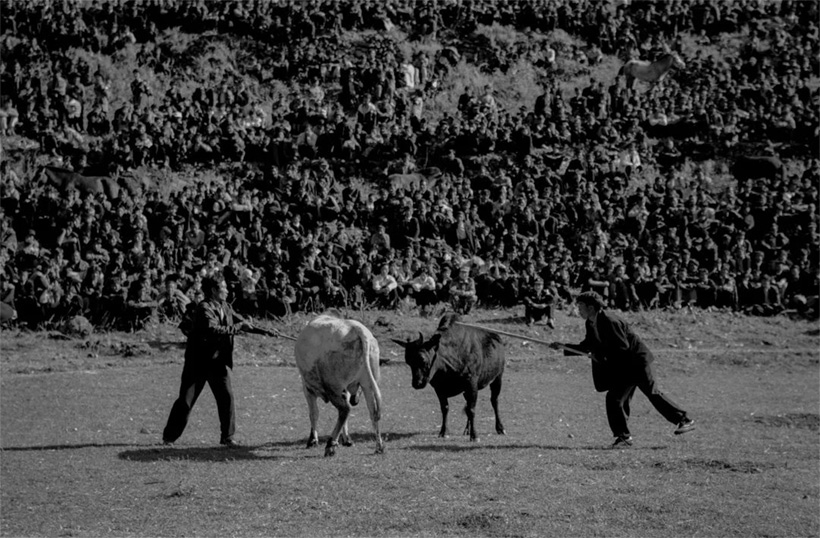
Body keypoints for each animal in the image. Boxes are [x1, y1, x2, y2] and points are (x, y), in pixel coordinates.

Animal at [294, 312, 384, 454]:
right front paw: (346, 439)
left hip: (333, 386)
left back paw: (330, 445)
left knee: (344, 409)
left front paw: (313, 440)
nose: (355, 400)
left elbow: (314, 413)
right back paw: (379, 446)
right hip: (368, 384)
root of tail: (357, 328)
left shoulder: (307, 388)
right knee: (372, 412)